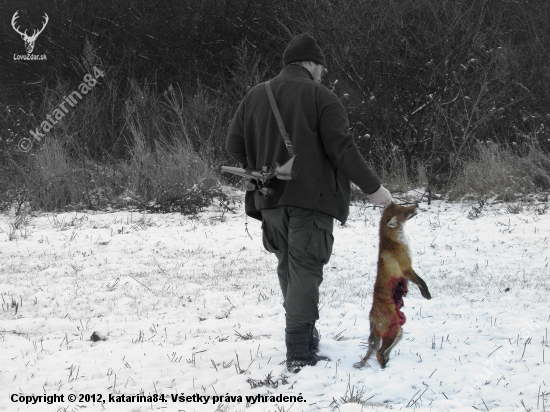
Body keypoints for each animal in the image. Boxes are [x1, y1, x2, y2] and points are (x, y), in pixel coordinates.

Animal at [356, 203, 434, 370]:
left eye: (403, 205)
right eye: (405, 211)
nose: (417, 204)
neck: (395, 242)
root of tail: (371, 317)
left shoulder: (408, 273)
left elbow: (419, 283)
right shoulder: (407, 269)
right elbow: (422, 281)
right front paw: (427, 294)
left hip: (399, 333)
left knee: (383, 352)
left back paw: (387, 363)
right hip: (394, 332)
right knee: (379, 352)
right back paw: (384, 367)